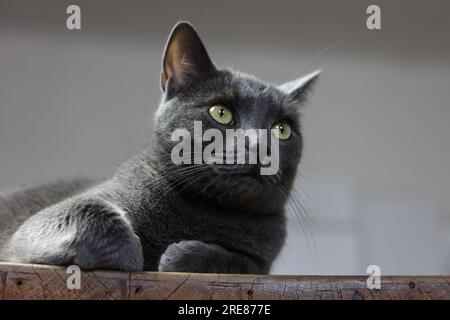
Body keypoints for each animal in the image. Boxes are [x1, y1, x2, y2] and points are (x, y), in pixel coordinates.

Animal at [0, 21, 320, 274]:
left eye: (282, 129)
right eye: (221, 113)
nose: (259, 145)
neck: (206, 210)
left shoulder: (262, 261)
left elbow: (240, 262)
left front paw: (178, 255)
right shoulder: (38, 225)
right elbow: (96, 215)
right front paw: (136, 255)